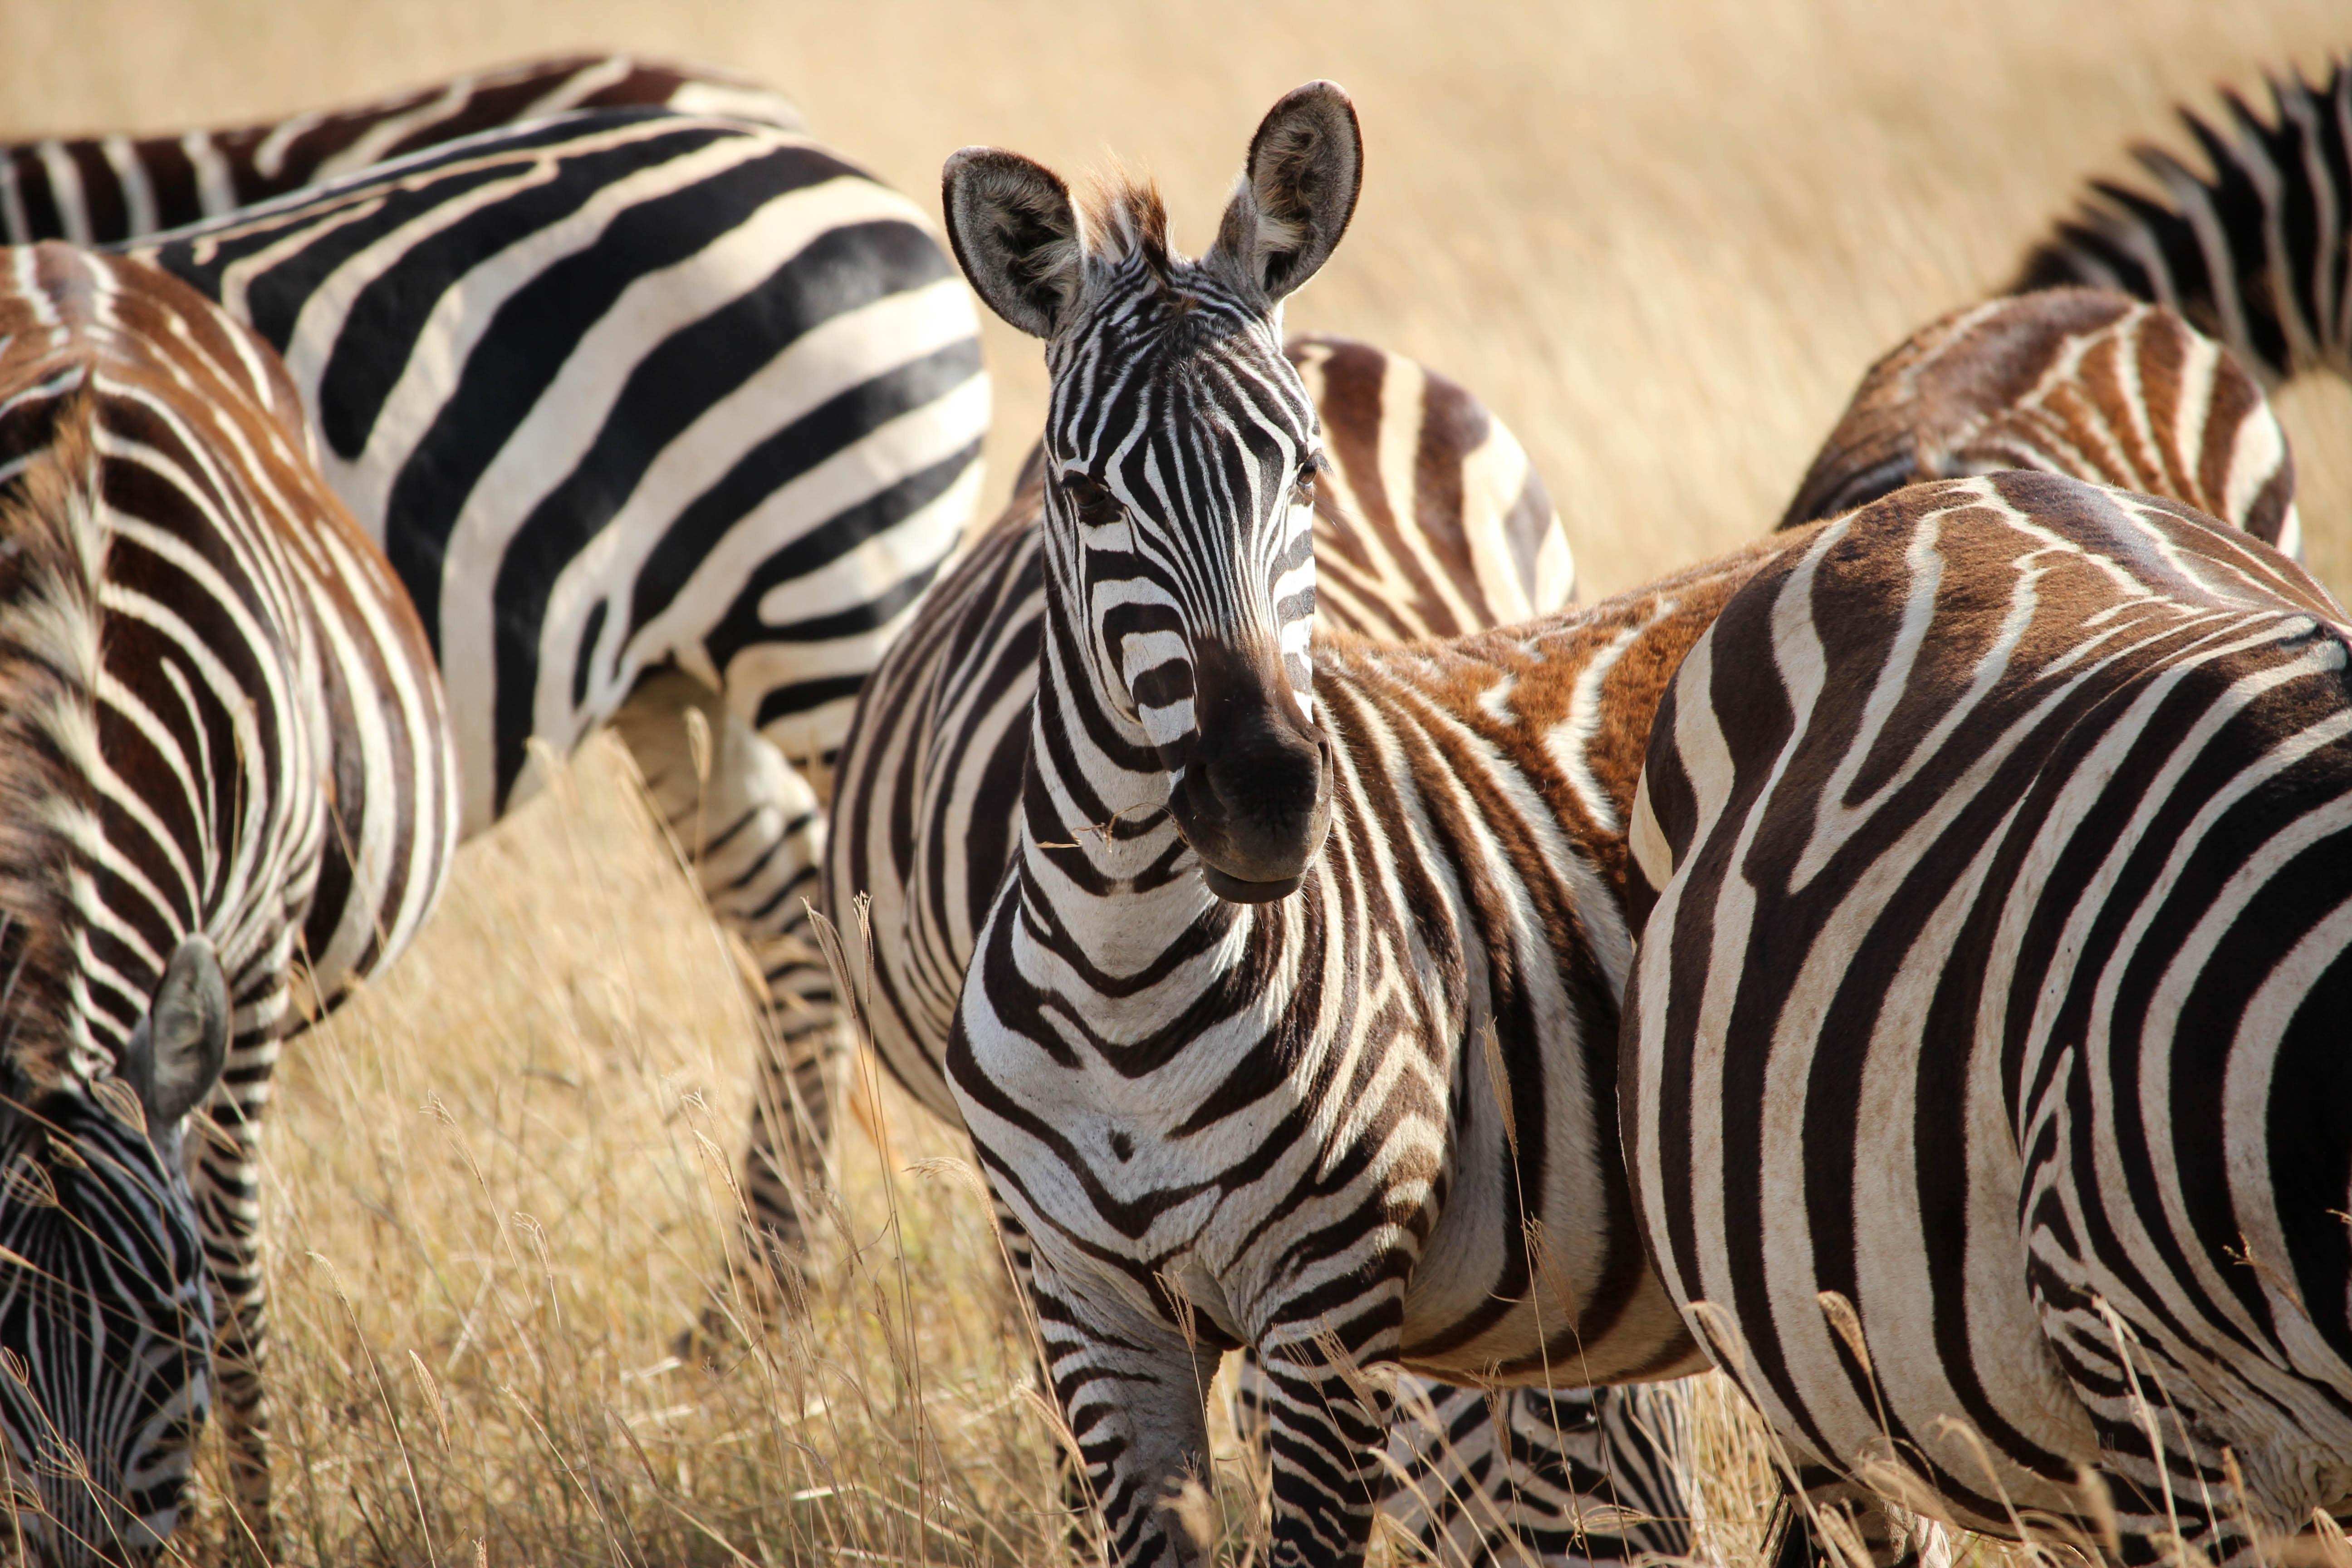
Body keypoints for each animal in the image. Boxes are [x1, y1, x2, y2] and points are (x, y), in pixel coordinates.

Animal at [0, 245, 458, 1568]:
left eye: (177, 1337)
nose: (83, 1562)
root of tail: (60, 258)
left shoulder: (253, 960)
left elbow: (242, 1246)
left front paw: (260, 1525)